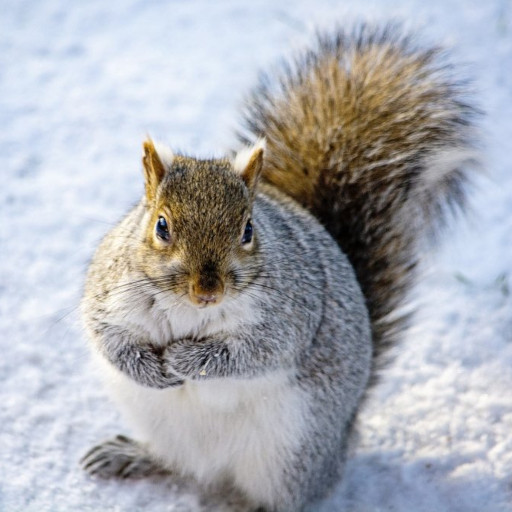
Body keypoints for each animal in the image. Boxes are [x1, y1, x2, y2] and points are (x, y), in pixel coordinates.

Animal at [81, 24, 480, 512]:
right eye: (161, 225)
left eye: (248, 229)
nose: (207, 292)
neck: (187, 310)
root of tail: (344, 434)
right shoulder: (110, 295)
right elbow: (110, 339)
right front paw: (149, 369)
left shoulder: (288, 314)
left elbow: (253, 353)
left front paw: (186, 359)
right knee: (179, 463)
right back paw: (132, 455)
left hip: (291, 452)